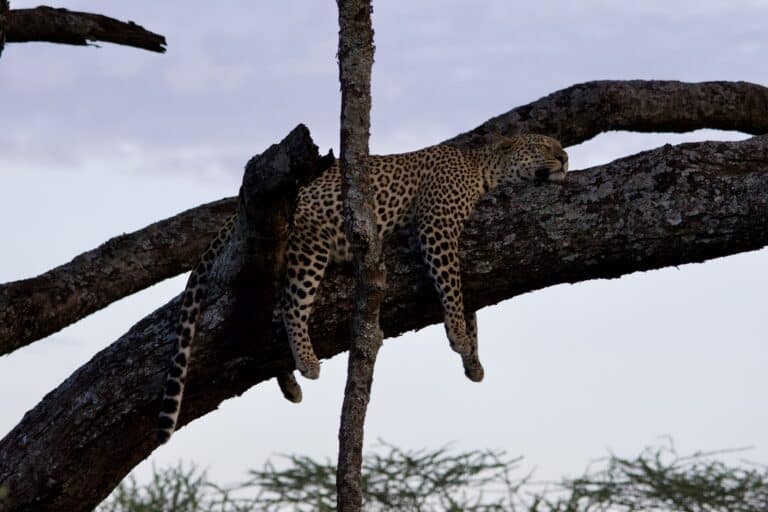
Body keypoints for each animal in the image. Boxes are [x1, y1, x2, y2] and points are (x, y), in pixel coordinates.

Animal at [157, 133, 569, 443]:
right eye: (545, 146)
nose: (565, 158)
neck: (483, 170)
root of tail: (232, 218)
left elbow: (469, 302)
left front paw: (473, 361)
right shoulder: (437, 225)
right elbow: (452, 288)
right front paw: (457, 335)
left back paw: (290, 384)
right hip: (310, 244)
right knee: (291, 305)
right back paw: (306, 362)